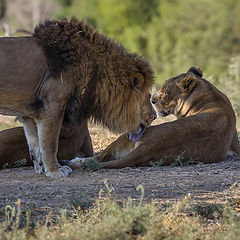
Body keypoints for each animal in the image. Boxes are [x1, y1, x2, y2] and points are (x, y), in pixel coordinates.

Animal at [0, 17, 154, 178]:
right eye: (148, 96)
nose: (154, 116)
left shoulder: (29, 114)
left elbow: (34, 146)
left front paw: (42, 169)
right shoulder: (52, 105)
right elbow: (50, 143)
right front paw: (55, 171)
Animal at [64, 66, 240, 170]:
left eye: (166, 92)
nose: (153, 100)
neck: (210, 95)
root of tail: (149, 147)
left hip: (126, 136)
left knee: (99, 158)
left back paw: (73, 161)